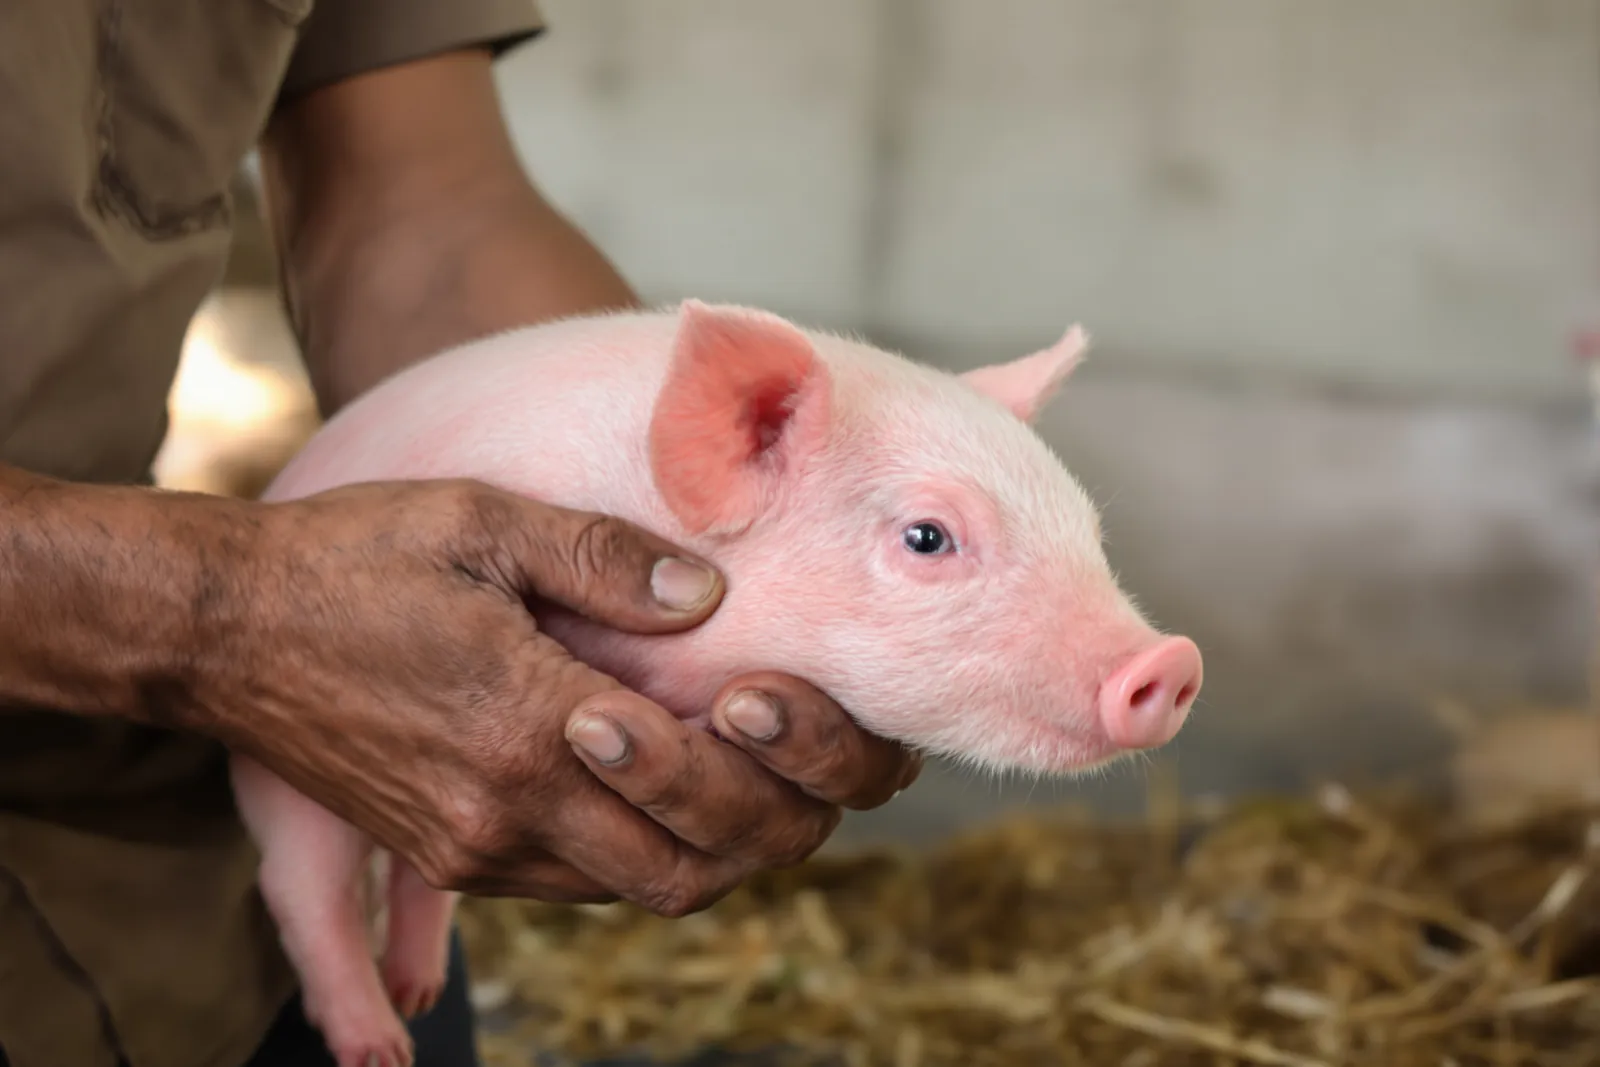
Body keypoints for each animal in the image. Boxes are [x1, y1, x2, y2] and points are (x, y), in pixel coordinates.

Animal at [229, 299, 1204, 1067]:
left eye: (1089, 530)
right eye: (928, 537)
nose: (1171, 662)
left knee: (422, 876)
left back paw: (420, 989)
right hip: (282, 773)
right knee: (303, 887)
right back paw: (381, 1045)